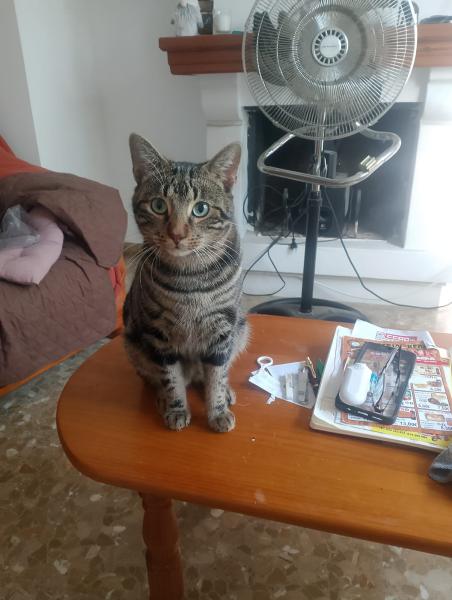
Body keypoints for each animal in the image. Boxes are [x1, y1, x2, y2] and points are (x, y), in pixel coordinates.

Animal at [123, 134, 248, 433]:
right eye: (158, 205)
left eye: (200, 209)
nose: (177, 234)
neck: (191, 277)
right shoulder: (159, 334)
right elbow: (171, 378)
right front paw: (177, 408)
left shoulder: (223, 329)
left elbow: (216, 375)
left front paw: (217, 411)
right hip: (134, 343)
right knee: (153, 377)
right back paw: (161, 399)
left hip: (241, 330)